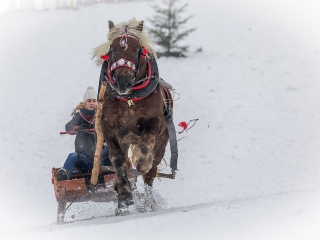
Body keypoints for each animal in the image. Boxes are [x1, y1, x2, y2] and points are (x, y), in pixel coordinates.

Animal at [92, 18, 178, 212]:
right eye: (112, 49)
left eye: (137, 49)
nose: (122, 81)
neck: (129, 99)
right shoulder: (109, 128)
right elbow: (118, 161)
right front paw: (124, 196)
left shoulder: (154, 123)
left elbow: (145, 149)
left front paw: (142, 162)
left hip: (163, 141)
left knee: (151, 173)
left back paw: (148, 202)